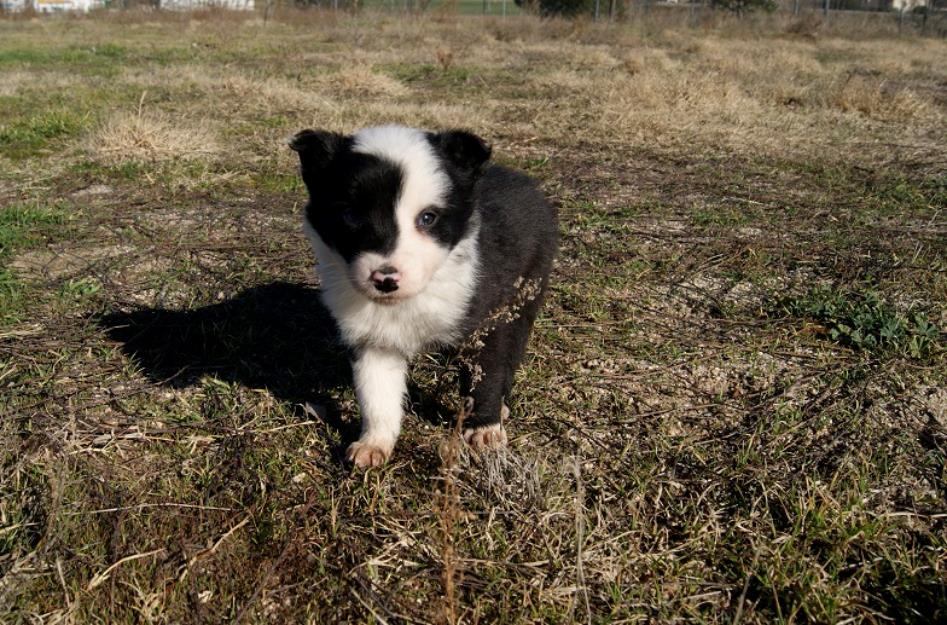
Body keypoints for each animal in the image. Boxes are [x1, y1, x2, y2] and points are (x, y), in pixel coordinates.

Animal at [288, 127, 556, 466]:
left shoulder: (488, 321)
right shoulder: (374, 339)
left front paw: (485, 428)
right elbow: (377, 393)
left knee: (513, 349)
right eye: (350, 216)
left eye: (428, 218)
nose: (385, 279)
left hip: (528, 289)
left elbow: (488, 372)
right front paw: (373, 443)